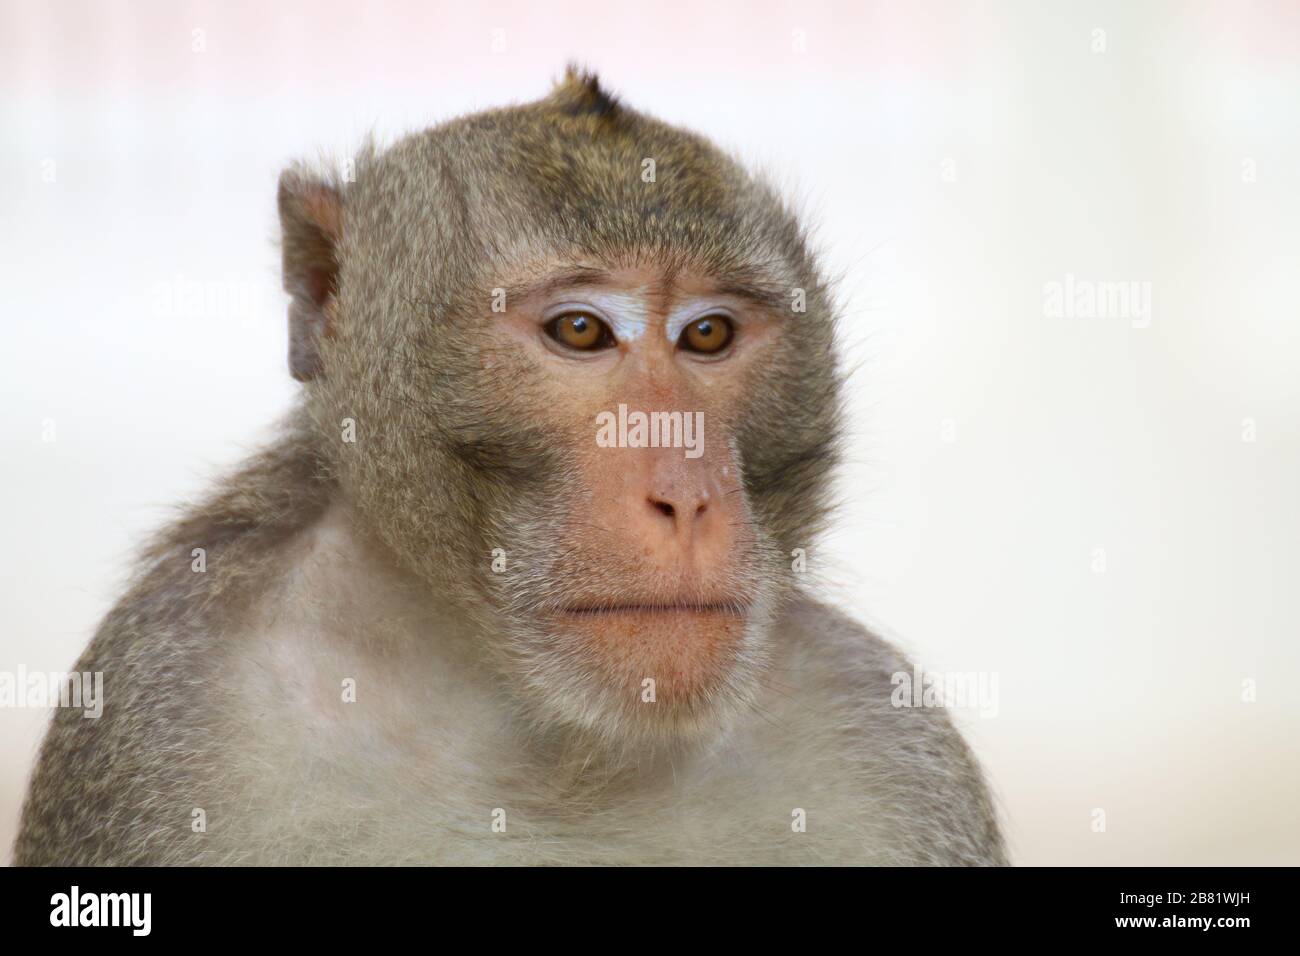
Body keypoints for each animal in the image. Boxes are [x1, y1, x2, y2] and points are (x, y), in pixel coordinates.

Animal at [12, 67, 1003, 868]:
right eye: (581, 330)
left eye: (709, 334)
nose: (687, 495)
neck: (553, 743)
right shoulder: (159, 706)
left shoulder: (891, 746)